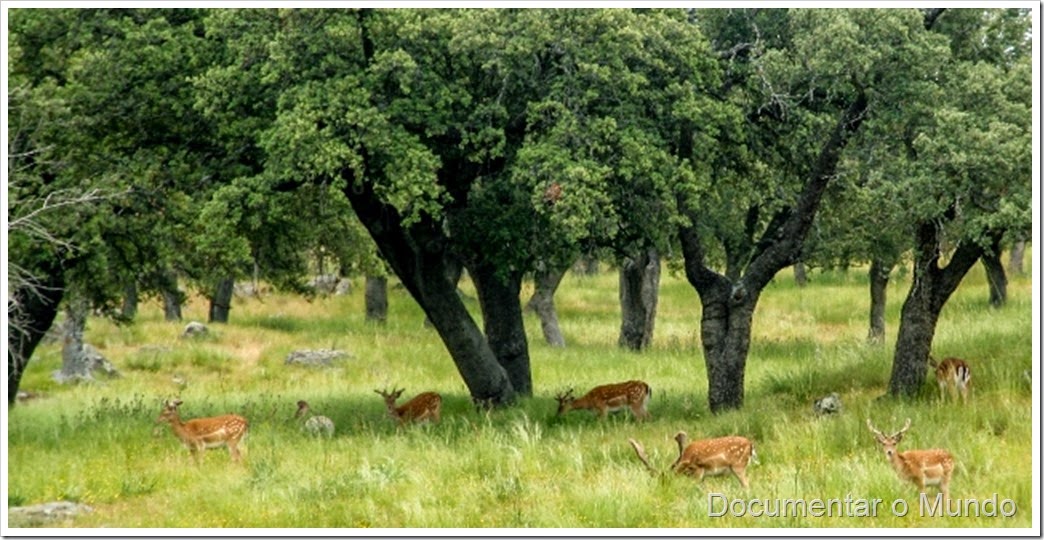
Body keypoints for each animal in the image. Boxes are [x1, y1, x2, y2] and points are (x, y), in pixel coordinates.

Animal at [622, 430, 755, 488]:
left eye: (667, 481)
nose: (664, 491)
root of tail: (750, 444)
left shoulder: (699, 470)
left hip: (738, 466)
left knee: (747, 484)